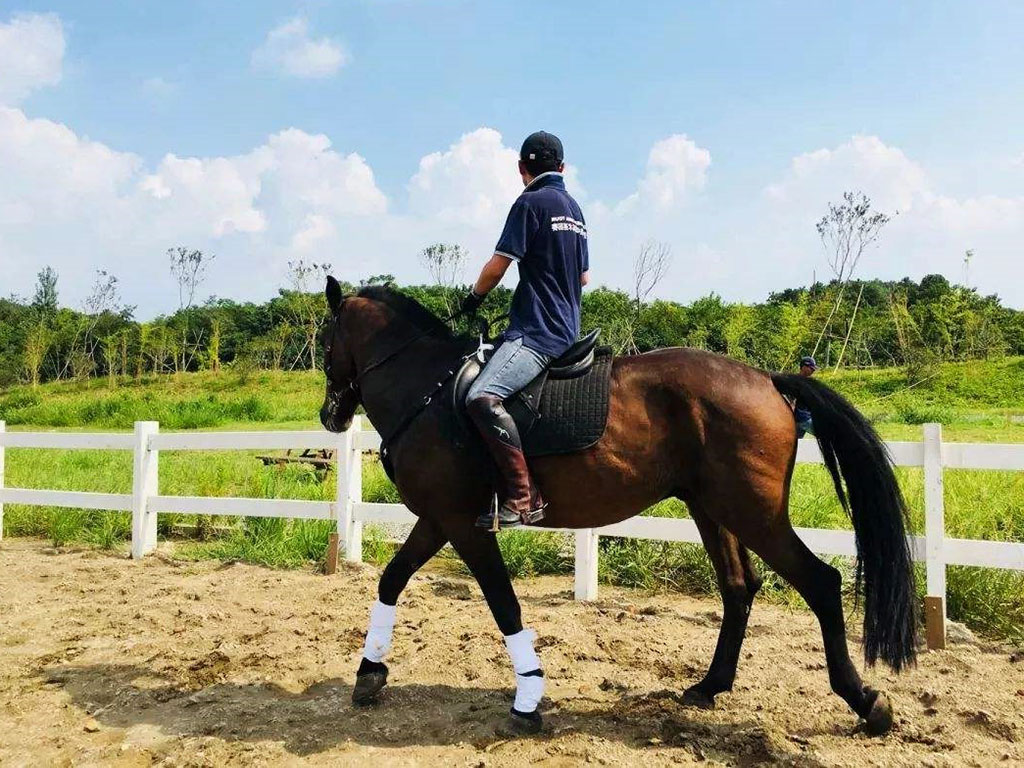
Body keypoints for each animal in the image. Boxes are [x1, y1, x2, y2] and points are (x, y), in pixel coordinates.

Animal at [319, 277, 917, 737]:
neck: (429, 390)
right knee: (739, 587)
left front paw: (527, 702)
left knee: (820, 583)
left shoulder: (464, 525)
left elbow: (504, 605)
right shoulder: (439, 519)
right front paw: (369, 672)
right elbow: (392, 579)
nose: (330, 415)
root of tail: (769, 382)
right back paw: (710, 686)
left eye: (324, 343)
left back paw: (865, 701)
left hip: (755, 514)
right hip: (713, 509)